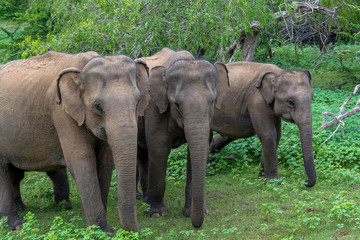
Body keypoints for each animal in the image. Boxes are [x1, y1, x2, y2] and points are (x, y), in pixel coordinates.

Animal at [0, 51, 149, 232]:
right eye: (97, 106)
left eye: (138, 101)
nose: (130, 232)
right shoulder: (62, 113)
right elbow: (81, 161)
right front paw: (100, 231)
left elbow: (105, 162)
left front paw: (104, 229)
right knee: (4, 172)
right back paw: (15, 224)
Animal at [136, 47, 229, 229]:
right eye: (177, 104)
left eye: (212, 102)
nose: (196, 225)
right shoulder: (155, 108)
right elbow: (159, 149)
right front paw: (158, 214)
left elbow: (198, 152)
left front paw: (193, 212)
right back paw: (144, 202)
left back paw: (145, 201)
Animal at [210, 60, 316, 188]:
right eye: (290, 102)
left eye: (312, 98)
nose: (306, 182)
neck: (279, 72)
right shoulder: (256, 101)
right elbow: (268, 134)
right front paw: (275, 182)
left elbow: (277, 136)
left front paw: (262, 178)